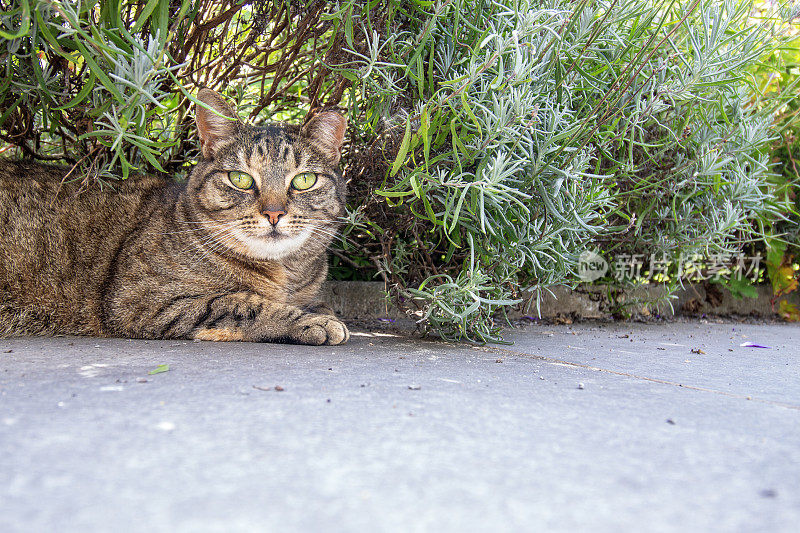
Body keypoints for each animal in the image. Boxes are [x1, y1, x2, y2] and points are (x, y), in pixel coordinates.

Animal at [0, 88, 350, 344]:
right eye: (240, 179)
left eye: (304, 180)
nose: (274, 212)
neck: (284, 274)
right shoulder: (141, 300)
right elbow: (240, 303)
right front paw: (313, 321)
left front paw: (320, 310)